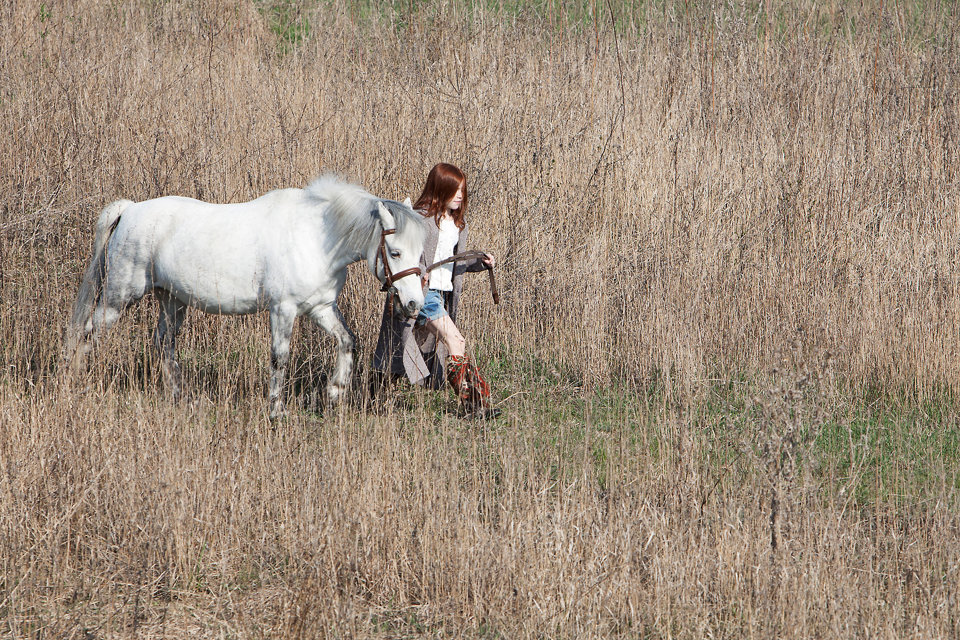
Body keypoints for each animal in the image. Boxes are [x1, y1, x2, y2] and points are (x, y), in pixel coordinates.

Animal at [65, 176, 426, 416]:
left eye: (421, 251)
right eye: (394, 252)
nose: (413, 304)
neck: (316, 237)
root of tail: (129, 210)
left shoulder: (320, 307)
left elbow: (348, 341)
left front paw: (335, 393)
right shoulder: (283, 309)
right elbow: (280, 357)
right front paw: (276, 410)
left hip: (172, 300)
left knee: (163, 342)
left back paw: (181, 397)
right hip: (119, 297)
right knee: (88, 333)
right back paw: (76, 382)